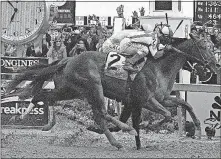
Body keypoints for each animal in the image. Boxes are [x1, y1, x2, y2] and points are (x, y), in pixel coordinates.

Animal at [6, 33, 218, 149]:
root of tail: (68, 60)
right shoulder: (146, 100)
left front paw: (198, 126)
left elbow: (185, 104)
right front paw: (144, 126)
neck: (159, 67)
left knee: (43, 96)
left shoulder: (163, 98)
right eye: (203, 46)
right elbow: (166, 115)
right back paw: (123, 131)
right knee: (102, 113)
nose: (215, 65)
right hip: (93, 86)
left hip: (71, 90)